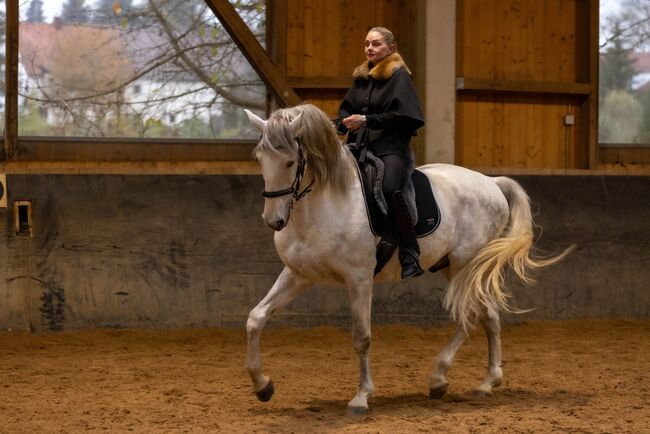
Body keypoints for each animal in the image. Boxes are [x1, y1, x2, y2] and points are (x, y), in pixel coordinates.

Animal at [242, 102, 568, 414]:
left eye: (290, 162)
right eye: (260, 158)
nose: (274, 221)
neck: (324, 204)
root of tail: (492, 183)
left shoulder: (359, 279)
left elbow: (362, 337)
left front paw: (361, 397)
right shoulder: (299, 275)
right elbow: (256, 318)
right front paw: (263, 386)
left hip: (466, 265)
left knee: (471, 314)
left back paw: (439, 379)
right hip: (458, 268)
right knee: (487, 314)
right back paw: (486, 383)